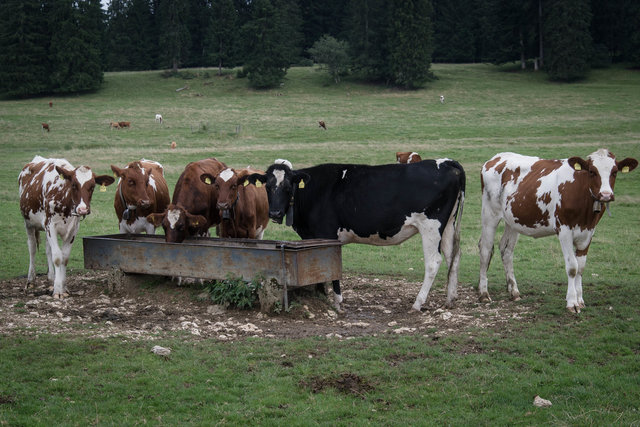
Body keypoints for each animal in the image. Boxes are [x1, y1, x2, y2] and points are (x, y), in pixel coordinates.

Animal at [19, 156, 114, 298]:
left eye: (92, 186)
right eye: (74, 185)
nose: (82, 209)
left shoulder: (73, 229)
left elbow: (64, 257)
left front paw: (63, 287)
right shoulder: (50, 226)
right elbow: (58, 257)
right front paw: (58, 291)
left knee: (48, 249)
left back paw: (51, 278)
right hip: (29, 223)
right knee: (32, 248)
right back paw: (31, 280)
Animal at [247, 158, 466, 311]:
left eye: (287, 187)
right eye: (267, 187)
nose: (275, 213)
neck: (314, 192)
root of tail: (446, 162)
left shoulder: (328, 235)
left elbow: (332, 269)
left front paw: (337, 302)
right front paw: (321, 297)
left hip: (431, 226)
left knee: (434, 262)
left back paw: (417, 303)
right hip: (448, 226)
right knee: (453, 257)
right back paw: (450, 299)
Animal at [478, 149, 638, 313]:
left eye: (614, 172)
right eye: (592, 171)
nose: (605, 195)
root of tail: (497, 157)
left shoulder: (589, 231)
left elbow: (581, 267)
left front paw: (580, 300)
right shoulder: (564, 230)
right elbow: (572, 267)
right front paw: (572, 303)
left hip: (513, 220)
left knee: (506, 250)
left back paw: (514, 292)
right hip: (490, 213)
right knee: (485, 249)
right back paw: (484, 293)